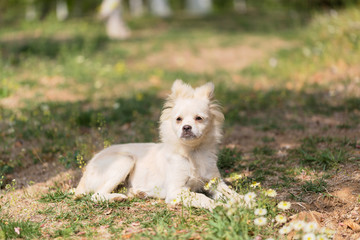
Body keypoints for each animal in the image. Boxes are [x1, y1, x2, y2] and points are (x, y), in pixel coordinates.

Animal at [75, 79, 240, 209]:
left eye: (199, 118)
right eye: (178, 119)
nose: (186, 127)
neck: (193, 152)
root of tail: (85, 171)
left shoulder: (215, 183)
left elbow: (232, 193)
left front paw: (243, 202)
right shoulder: (176, 191)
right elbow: (202, 197)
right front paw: (220, 207)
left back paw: (137, 192)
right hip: (124, 160)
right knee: (96, 195)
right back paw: (116, 197)